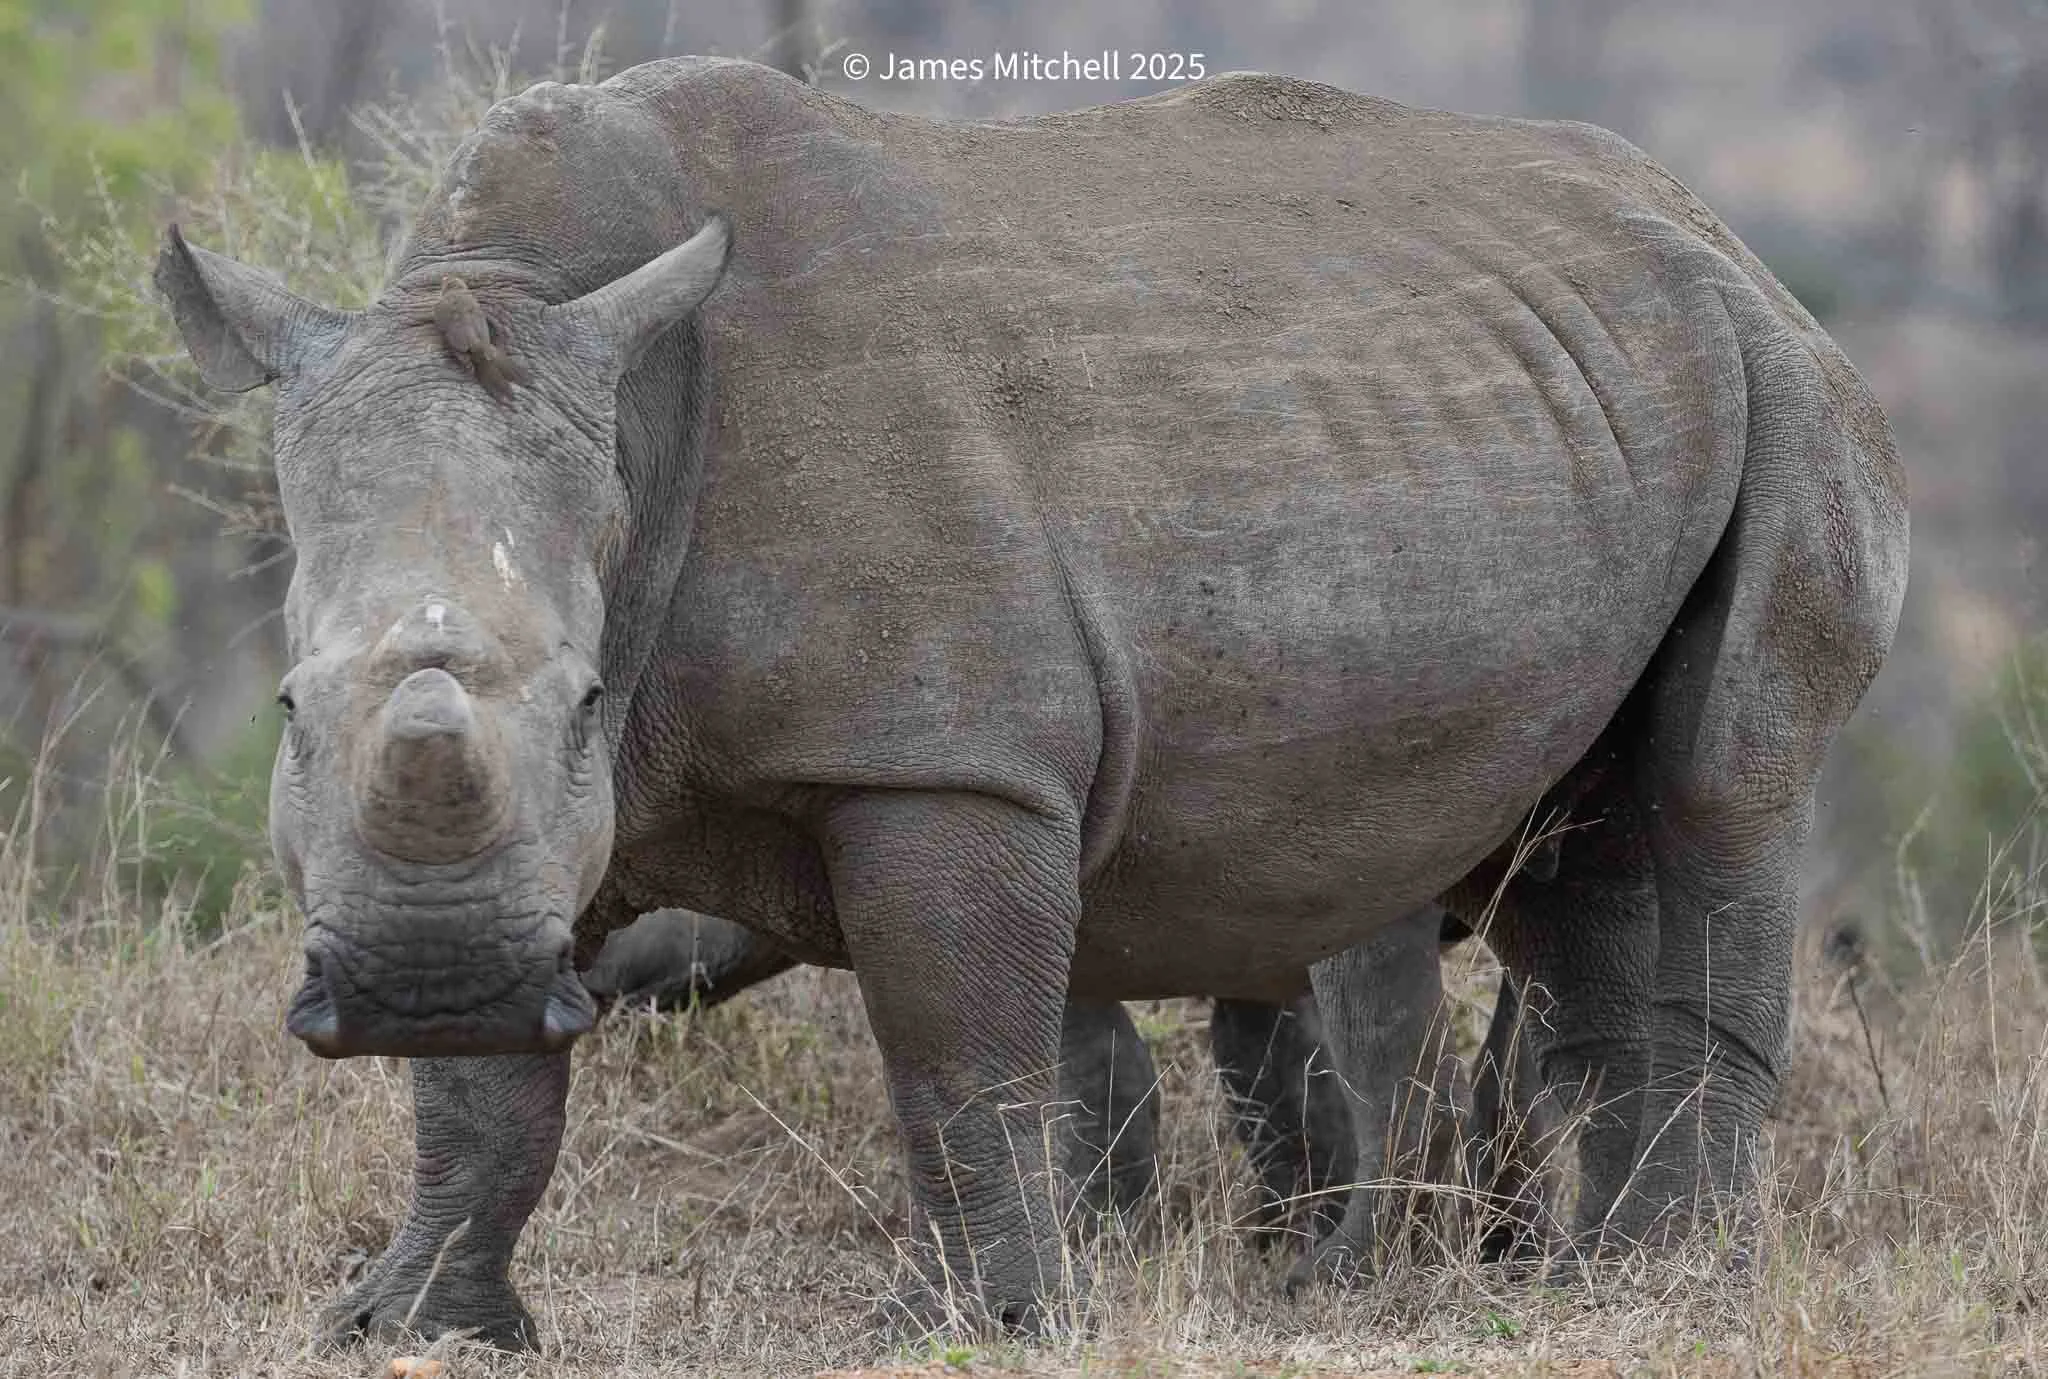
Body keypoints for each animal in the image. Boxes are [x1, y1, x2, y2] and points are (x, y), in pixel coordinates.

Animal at [155, 58, 1908, 1346]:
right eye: (290, 708)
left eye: (589, 702)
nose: (415, 980)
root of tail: (1723, 235)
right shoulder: (533, 849)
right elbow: (484, 1093)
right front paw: (403, 1323)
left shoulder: (948, 760)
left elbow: (961, 1041)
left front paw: (978, 1325)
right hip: (1576, 412)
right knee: (1573, 842)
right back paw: (1577, 1281)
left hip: (1793, 386)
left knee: (1712, 794)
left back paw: (1669, 1284)